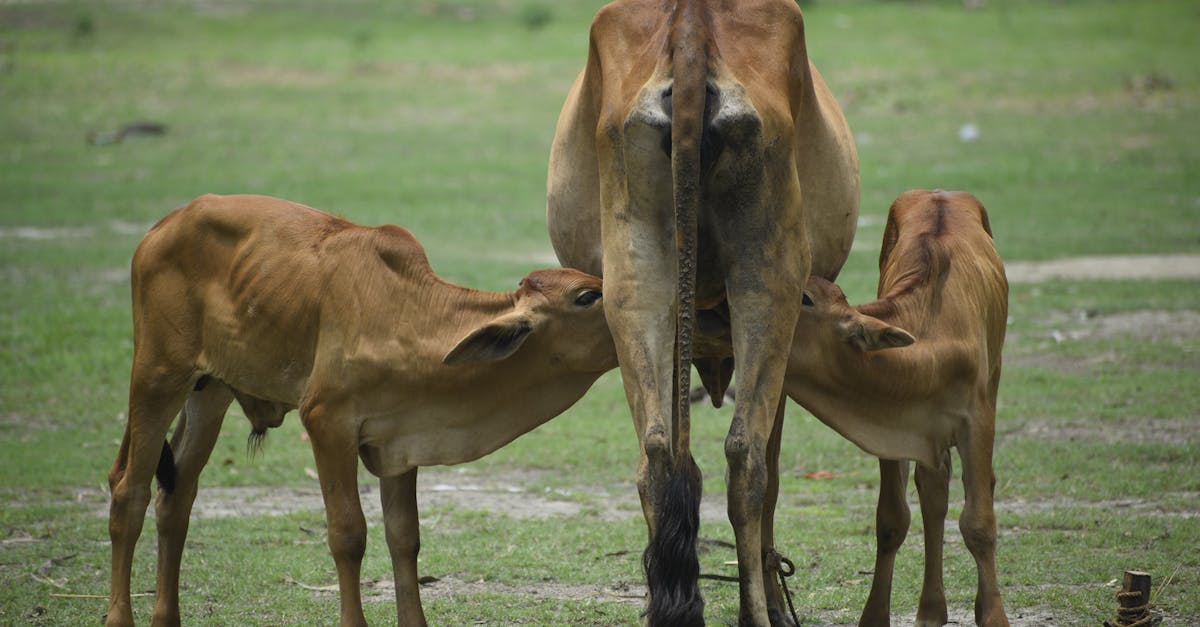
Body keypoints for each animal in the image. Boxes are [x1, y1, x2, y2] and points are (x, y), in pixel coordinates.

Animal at [105, 194, 616, 627]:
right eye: (587, 296)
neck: (409, 319)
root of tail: (166, 223)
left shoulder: (402, 440)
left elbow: (405, 537)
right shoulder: (326, 422)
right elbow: (348, 534)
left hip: (209, 392)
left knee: (176, 498)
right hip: (157, 376)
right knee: (129, 491)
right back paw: (119, 616)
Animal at [546, 0, 859, 623]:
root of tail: (691, 23)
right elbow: (773, 464)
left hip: (635, 278)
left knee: (658, 455)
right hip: (770, 279)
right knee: (748, 460)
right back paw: (759, 613)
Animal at [783, 190, 1010, 626]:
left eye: (805, 298)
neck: (931, 346)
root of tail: (941, 192)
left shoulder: (977, 421)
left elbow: (979, 523)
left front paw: (993, 615)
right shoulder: (891, 426)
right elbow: (891, 519)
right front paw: (874, 615)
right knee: (934, 491)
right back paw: (931, 610)